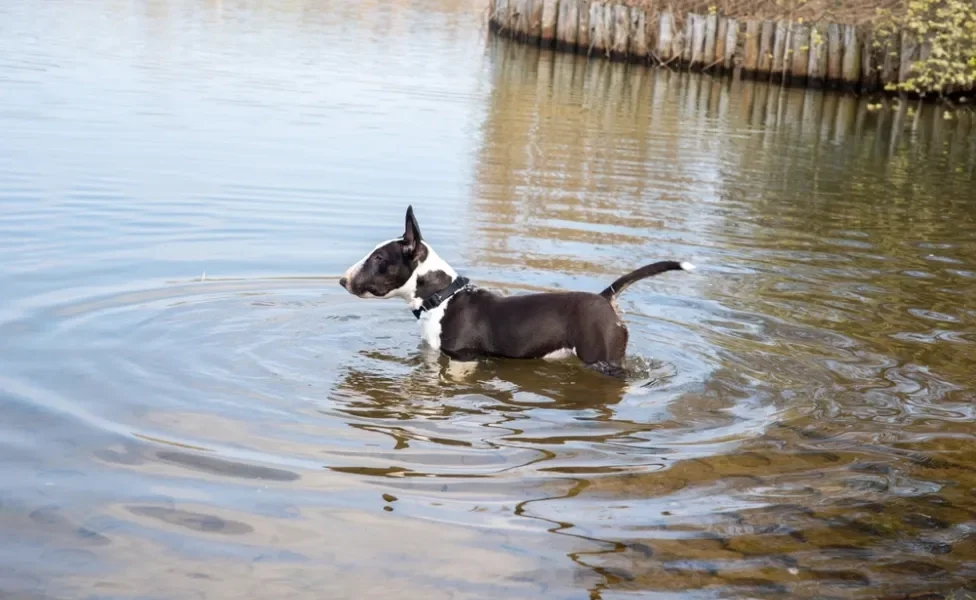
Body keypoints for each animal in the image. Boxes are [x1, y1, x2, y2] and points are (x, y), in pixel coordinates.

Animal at [344, 206, 692, 376]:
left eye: (379, 258)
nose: (343, 281)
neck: (441, 298)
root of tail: (606, 297)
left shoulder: (463, 359)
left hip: (603, 360)